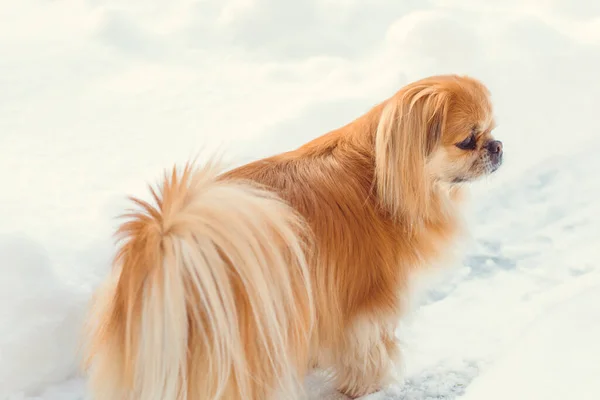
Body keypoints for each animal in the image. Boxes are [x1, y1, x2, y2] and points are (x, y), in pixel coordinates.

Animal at [81, 75, 502, 400]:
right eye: (468, 140)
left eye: (492, 130)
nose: (497, 147)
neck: (379, 175)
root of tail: (169, 252)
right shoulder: (369, 305)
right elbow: (368, 353)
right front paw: (366, 388)